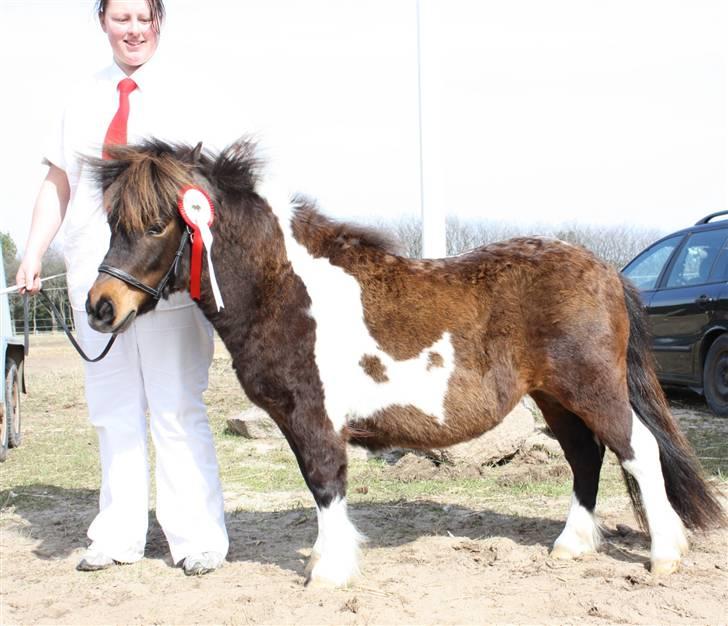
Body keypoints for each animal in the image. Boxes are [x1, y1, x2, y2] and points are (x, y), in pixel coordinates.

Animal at [85, 139, 724, 584]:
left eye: (156, 223)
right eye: (112, 223)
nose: (100, 307)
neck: (285, 287)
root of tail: (607, 270)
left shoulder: (312, 417)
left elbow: (325, 483)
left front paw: (330, 572)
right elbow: (320, 487)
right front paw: (324, 560)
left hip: (592, 388)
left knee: (637, 449)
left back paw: (664, 555)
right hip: (554, 396)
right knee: (587, 458)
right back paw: (571, 545)